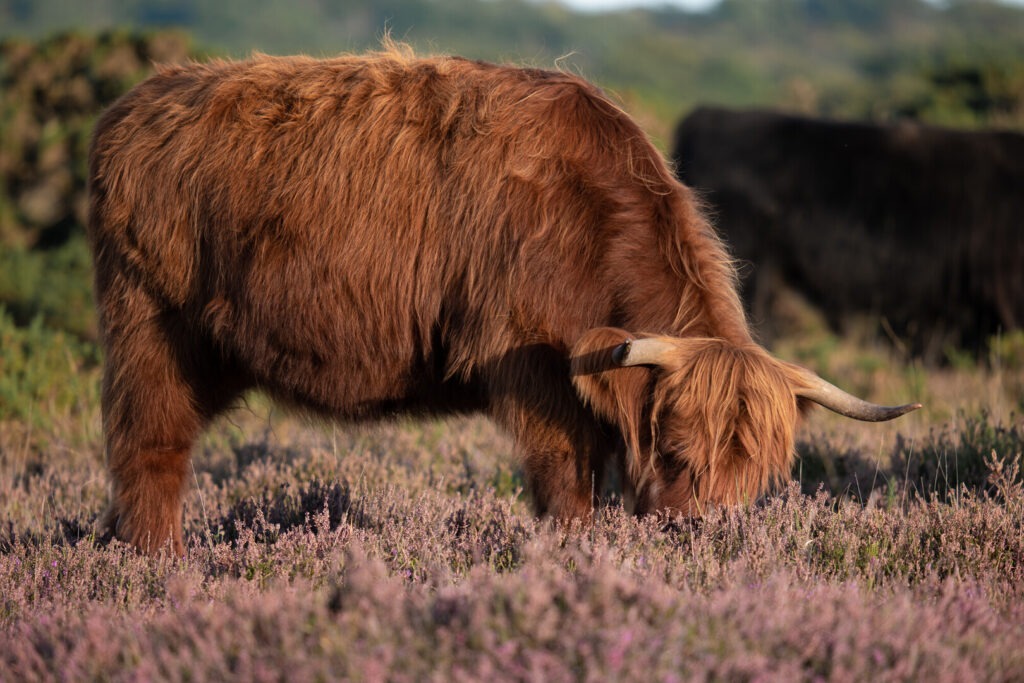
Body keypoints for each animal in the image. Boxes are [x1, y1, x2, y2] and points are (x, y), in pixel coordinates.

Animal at [87, 49, 919, 555]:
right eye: (682, 451)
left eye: (762, 474)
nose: (704, 536)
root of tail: (139, 102)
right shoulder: (532, 372)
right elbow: (566, 484)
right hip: (150, 328)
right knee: (150, 448)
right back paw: (158, 565)